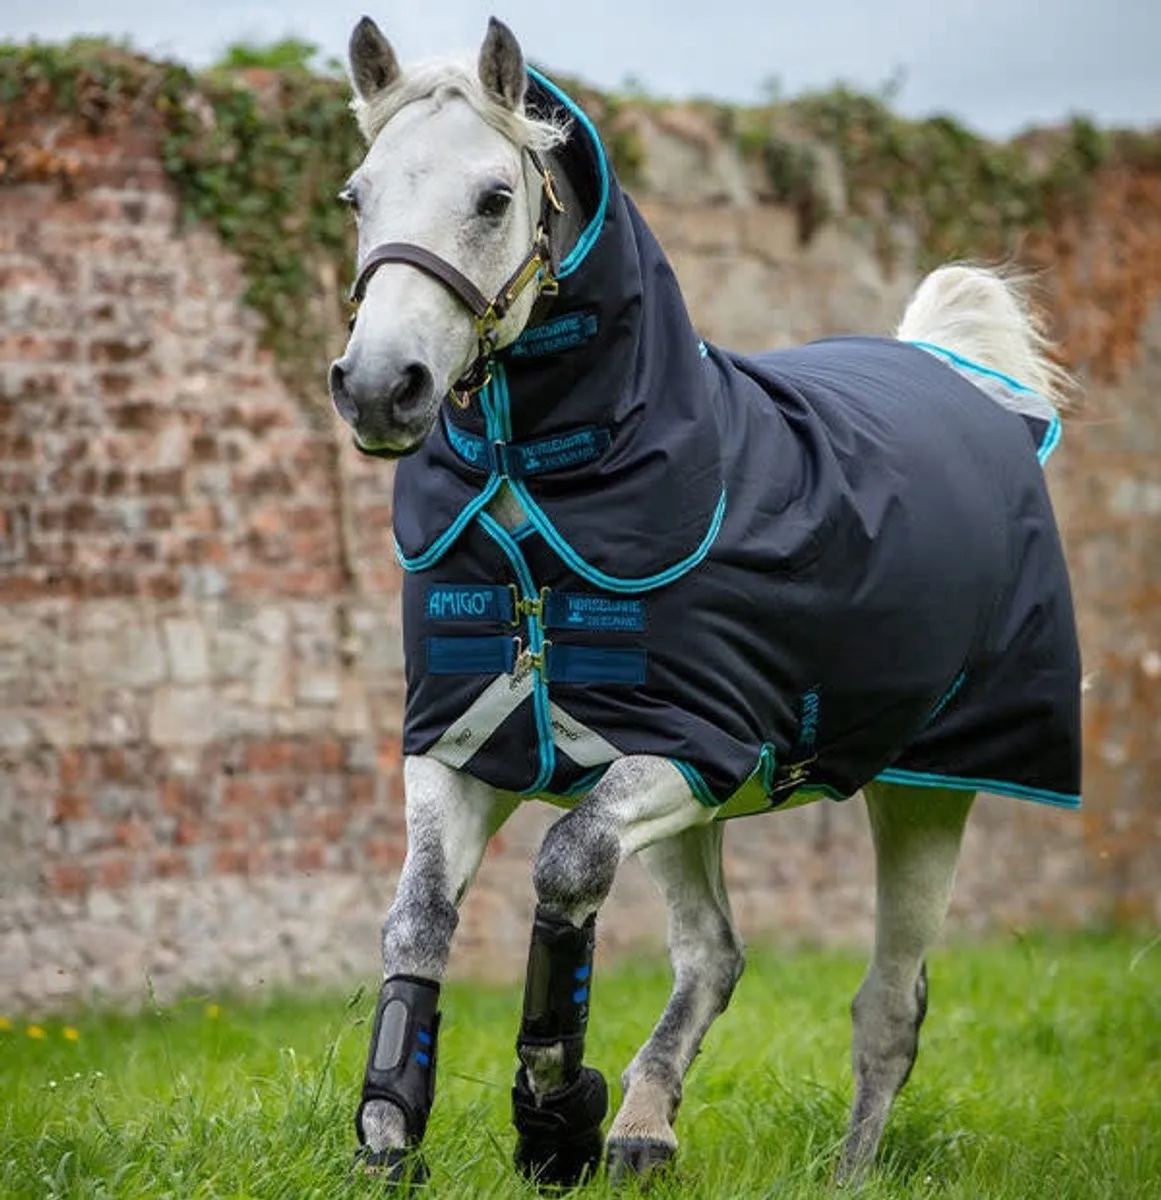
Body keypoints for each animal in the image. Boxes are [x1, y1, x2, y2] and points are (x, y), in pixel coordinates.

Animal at [327, 15, 1083, 1188]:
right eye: (358, 195)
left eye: (495, 196)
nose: (377, 388)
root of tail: (954, 371)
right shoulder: (463, 743)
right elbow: (417, 923)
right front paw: (394, 1136)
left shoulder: (696, 746)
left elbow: (566, 867)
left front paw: (554, 1112)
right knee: (714, 955)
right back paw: (644, 1130)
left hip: (928, 790)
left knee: (887, 1007)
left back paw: (841, 1171)